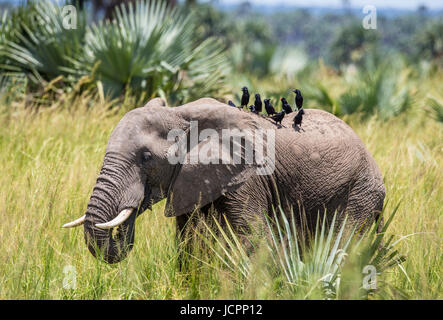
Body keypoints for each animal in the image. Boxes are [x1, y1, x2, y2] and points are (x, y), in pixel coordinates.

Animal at [61, 97, 386, 262]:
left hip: (361, 193)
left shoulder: (248, 177)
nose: (121, 230)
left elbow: (255, 239)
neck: (181, 112)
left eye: (146, 157)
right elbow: (189, 241)